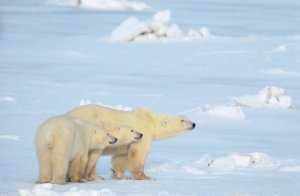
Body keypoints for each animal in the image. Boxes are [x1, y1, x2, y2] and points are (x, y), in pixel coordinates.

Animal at [66, 105, 196, 180]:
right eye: (182, 120)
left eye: (187, 118)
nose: (194, 124)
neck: (151, 121)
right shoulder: (143, 133)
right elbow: (139, 154)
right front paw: (146, 177)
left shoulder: (126, 142)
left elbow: (121, 156)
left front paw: (121, 175)